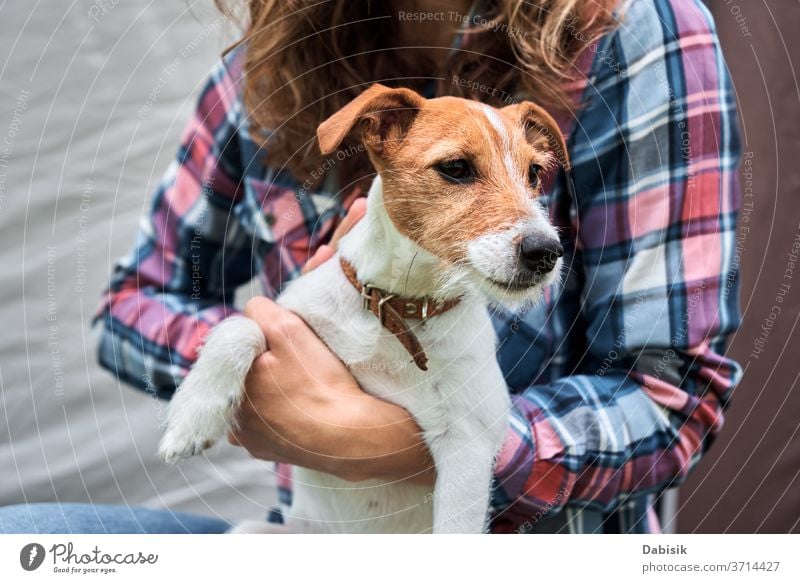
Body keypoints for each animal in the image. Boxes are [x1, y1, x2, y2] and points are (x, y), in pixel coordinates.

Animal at [158, 83, 568, 532]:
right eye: (456, 167)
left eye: (534, 174)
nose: (546, 252)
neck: (398, 309)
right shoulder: (290, 317)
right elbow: (238, 326)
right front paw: (191, 419)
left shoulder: (469, 445)